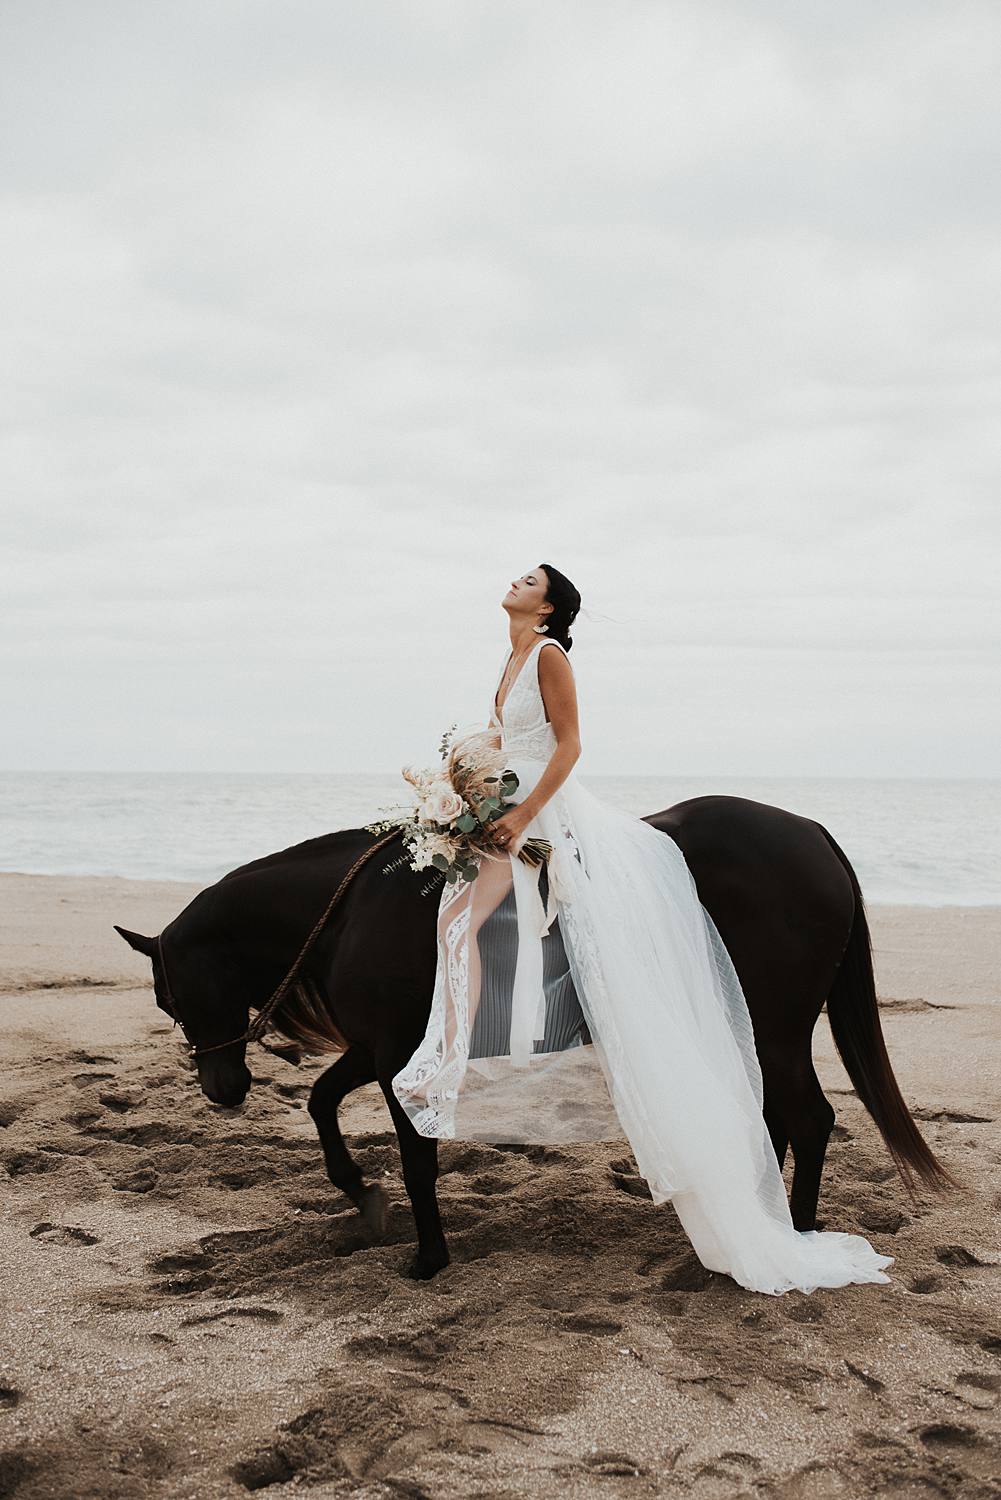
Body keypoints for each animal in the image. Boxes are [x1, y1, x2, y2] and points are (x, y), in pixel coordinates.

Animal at [113, 798, 960, 1278]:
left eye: (171, 996)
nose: (222, 1089)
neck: (358, 910)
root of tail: (811, 832)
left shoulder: (395, 1059)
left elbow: (415, 1158)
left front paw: (427, 1256)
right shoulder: (380, 1049)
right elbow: (323, 1104)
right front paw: (363, 1196)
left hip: (776, 1028)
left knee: (807, 1122)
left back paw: (793, 1235)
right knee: (771, 1119)